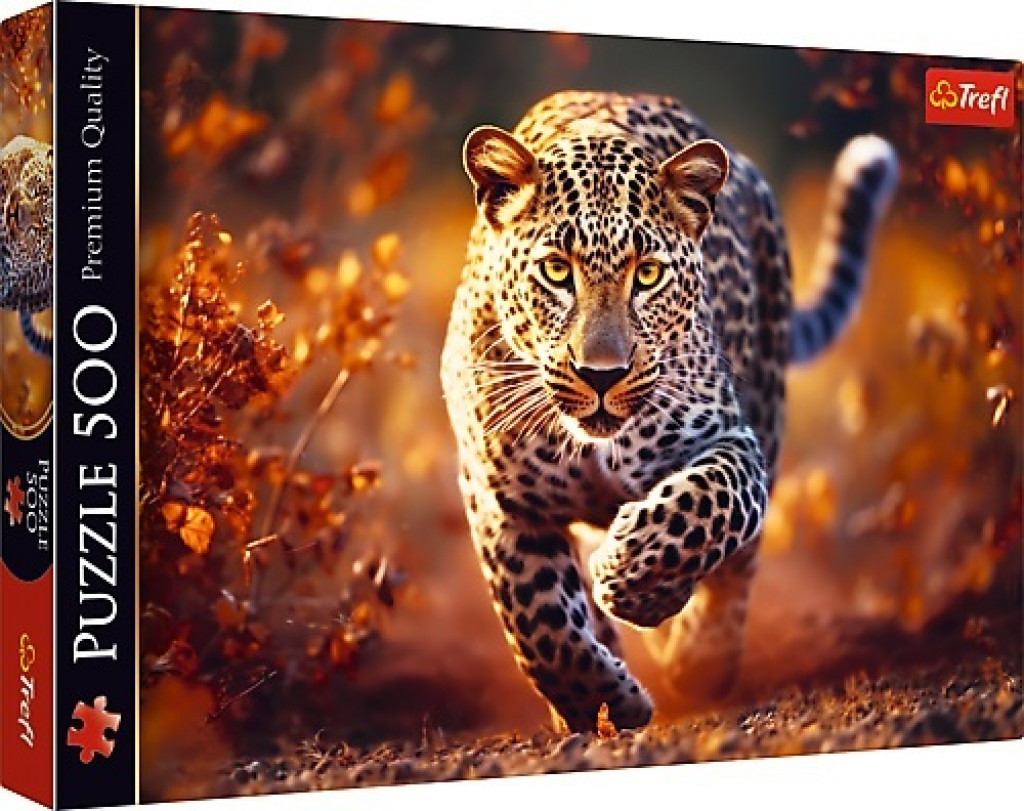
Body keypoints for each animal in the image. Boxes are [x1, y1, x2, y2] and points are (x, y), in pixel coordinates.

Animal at [440, 91, 897, 732]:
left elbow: (706, 504)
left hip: (769, 403)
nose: (600, 374)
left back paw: (700, 658)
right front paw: (601, 703)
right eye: (556, 270)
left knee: (738, 567)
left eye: (648, 274)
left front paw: (633, 577)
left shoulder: (733, 440)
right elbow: (538, 620)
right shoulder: (498, 496)